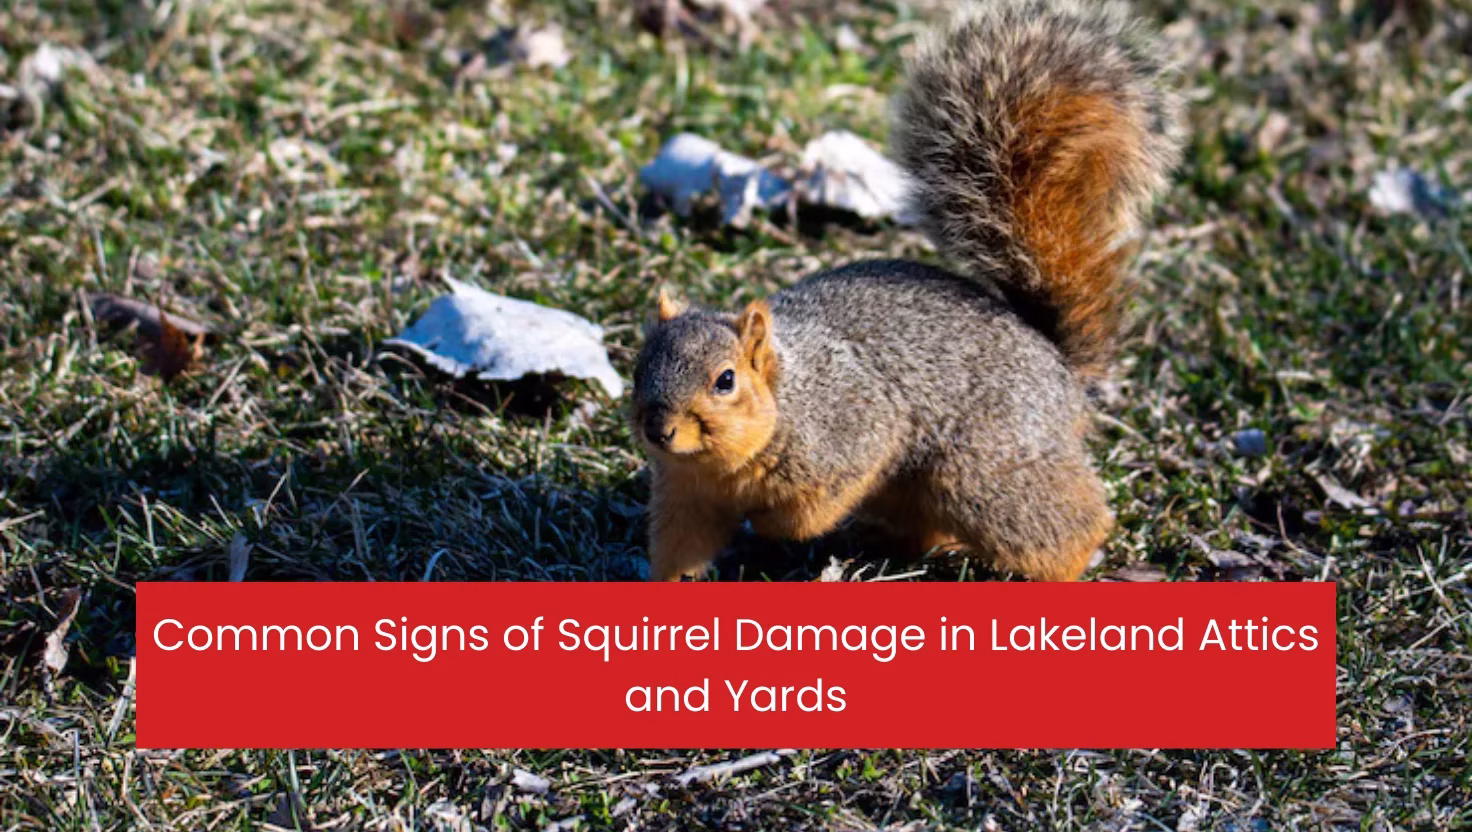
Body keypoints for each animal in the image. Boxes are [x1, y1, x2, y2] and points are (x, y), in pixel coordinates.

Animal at [631, 0, 1184, 582]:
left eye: (726, 380)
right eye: (638, 367)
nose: (658, 430)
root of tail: (1058, 365)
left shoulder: (857, 430)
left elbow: (810, 510)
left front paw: (768, 525)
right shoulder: (687, 495)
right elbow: (681, 546)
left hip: (985, 469)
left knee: (1064, 527)